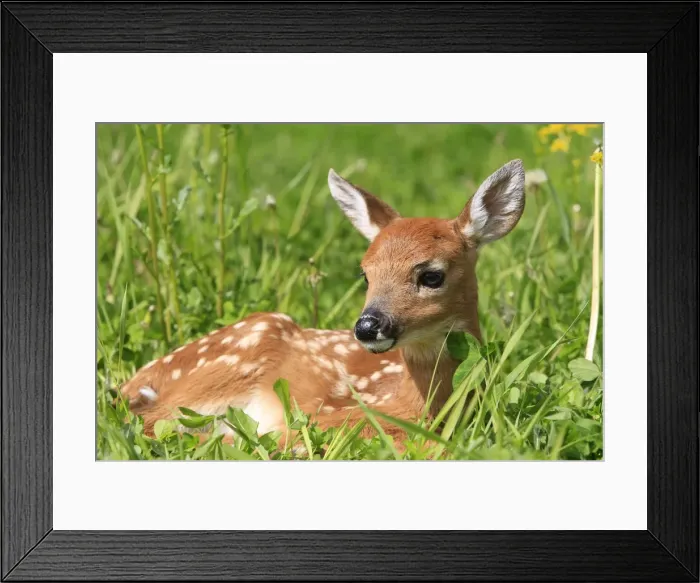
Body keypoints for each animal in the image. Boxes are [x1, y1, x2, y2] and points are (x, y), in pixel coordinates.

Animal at [118, 159, 526, 446]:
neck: (409, 406)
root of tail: (132, 384)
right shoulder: (324, 416)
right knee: (153, 421)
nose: (368, 326)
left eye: (431, 276)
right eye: (365, 274)